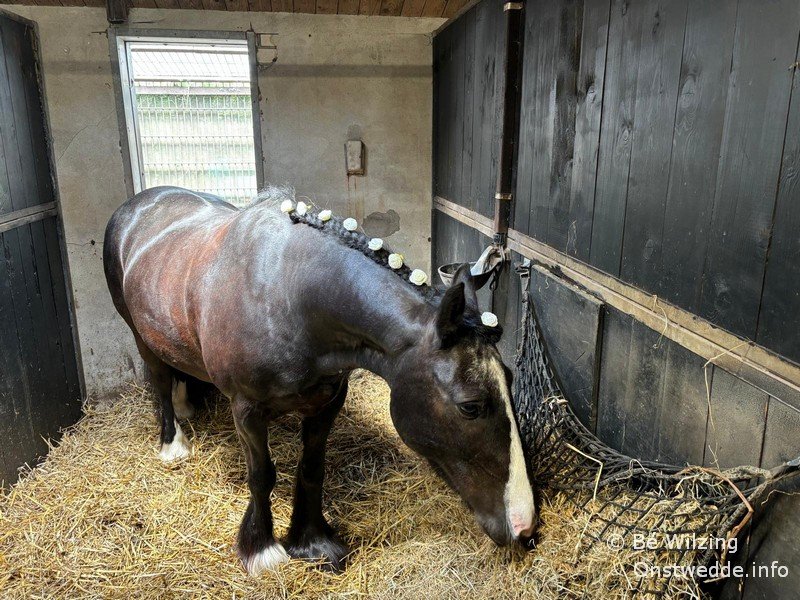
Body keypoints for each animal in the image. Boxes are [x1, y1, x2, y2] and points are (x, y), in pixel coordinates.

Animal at [103, 186, 537, 574]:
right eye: (471, 406)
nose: (525, 527)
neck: (288, 297)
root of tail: (137, 204)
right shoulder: (246, 409)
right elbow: (261, 475)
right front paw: (262, 549)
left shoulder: (328, 401)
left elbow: (312, 468)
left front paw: (311, 542)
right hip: (140, 336)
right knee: (160, 382)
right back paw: (173, 442)